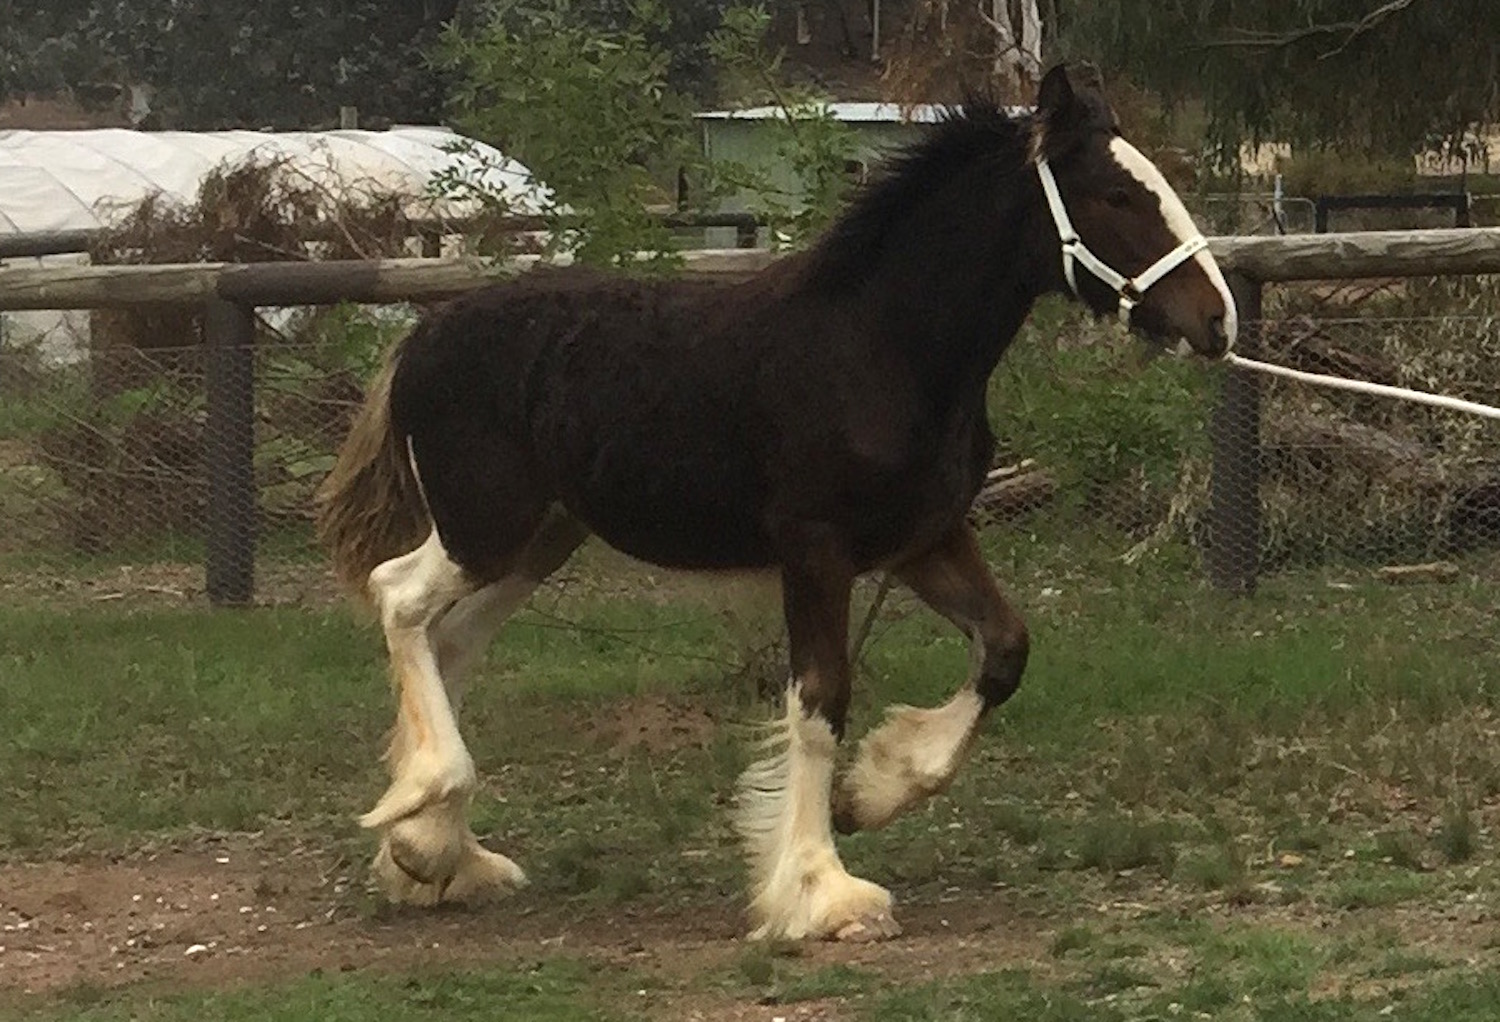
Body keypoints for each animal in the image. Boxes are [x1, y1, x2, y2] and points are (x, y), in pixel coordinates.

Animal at [315, 63, 1237, 942]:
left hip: (540, 541)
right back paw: (427, 814)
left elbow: (1005, 649)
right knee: (401, 599)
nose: (1217, 320)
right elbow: (820, 701)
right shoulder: (816, 548)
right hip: (485, 527)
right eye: (1116, 195)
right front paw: (822, 894)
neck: (880, 349)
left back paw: (434, 854)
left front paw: (875, 793)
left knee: (451, 638)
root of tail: (421, 337)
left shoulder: (925, 539)